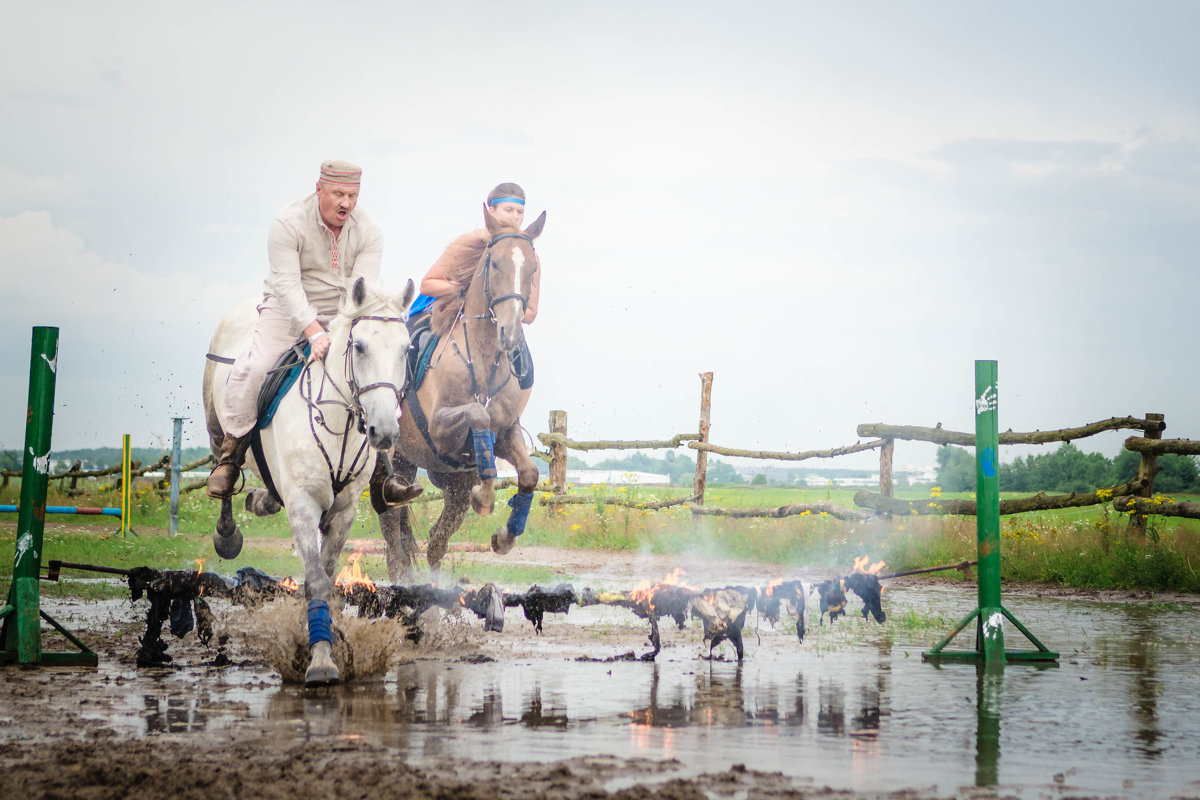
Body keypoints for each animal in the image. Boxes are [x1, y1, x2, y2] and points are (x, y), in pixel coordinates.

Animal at [376, 206, 547, 582]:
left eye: (533, 268)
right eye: (494, 264)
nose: (509, 333)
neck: (483, 360)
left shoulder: (506, 432)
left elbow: (528, 474)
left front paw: (504, 537)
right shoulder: (440, 430)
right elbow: (478, 414)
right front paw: (484, 498)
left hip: (434, 475)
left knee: (436, 539)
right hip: (394, 458)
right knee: (392, 525)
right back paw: (401, 578)